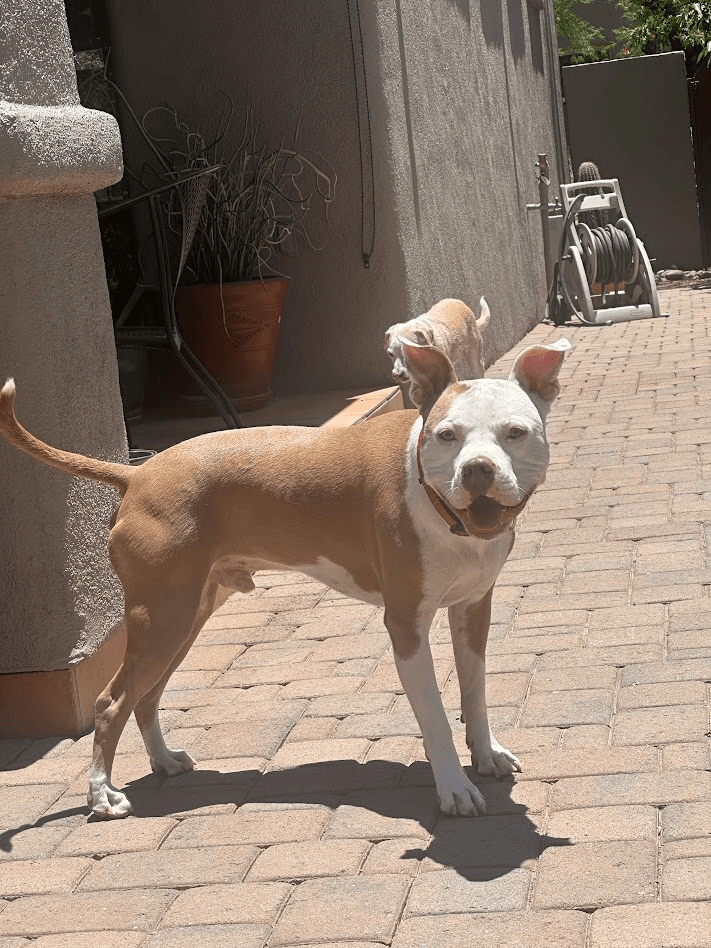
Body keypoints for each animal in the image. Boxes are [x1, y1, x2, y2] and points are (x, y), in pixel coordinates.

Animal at [0, 334, 570, 820]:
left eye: (515, 433)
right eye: (448, 436)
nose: (477, 469)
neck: (437, 503)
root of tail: (138, 473)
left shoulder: (473, 608)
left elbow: (475, 690)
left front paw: (487, 754)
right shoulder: (406, 625)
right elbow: (433, 714)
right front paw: (454, 788)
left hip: (183, 616)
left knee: (146, 696)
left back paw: (163, 760)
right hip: (161, 617)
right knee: (111, 702)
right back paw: (102, 795)